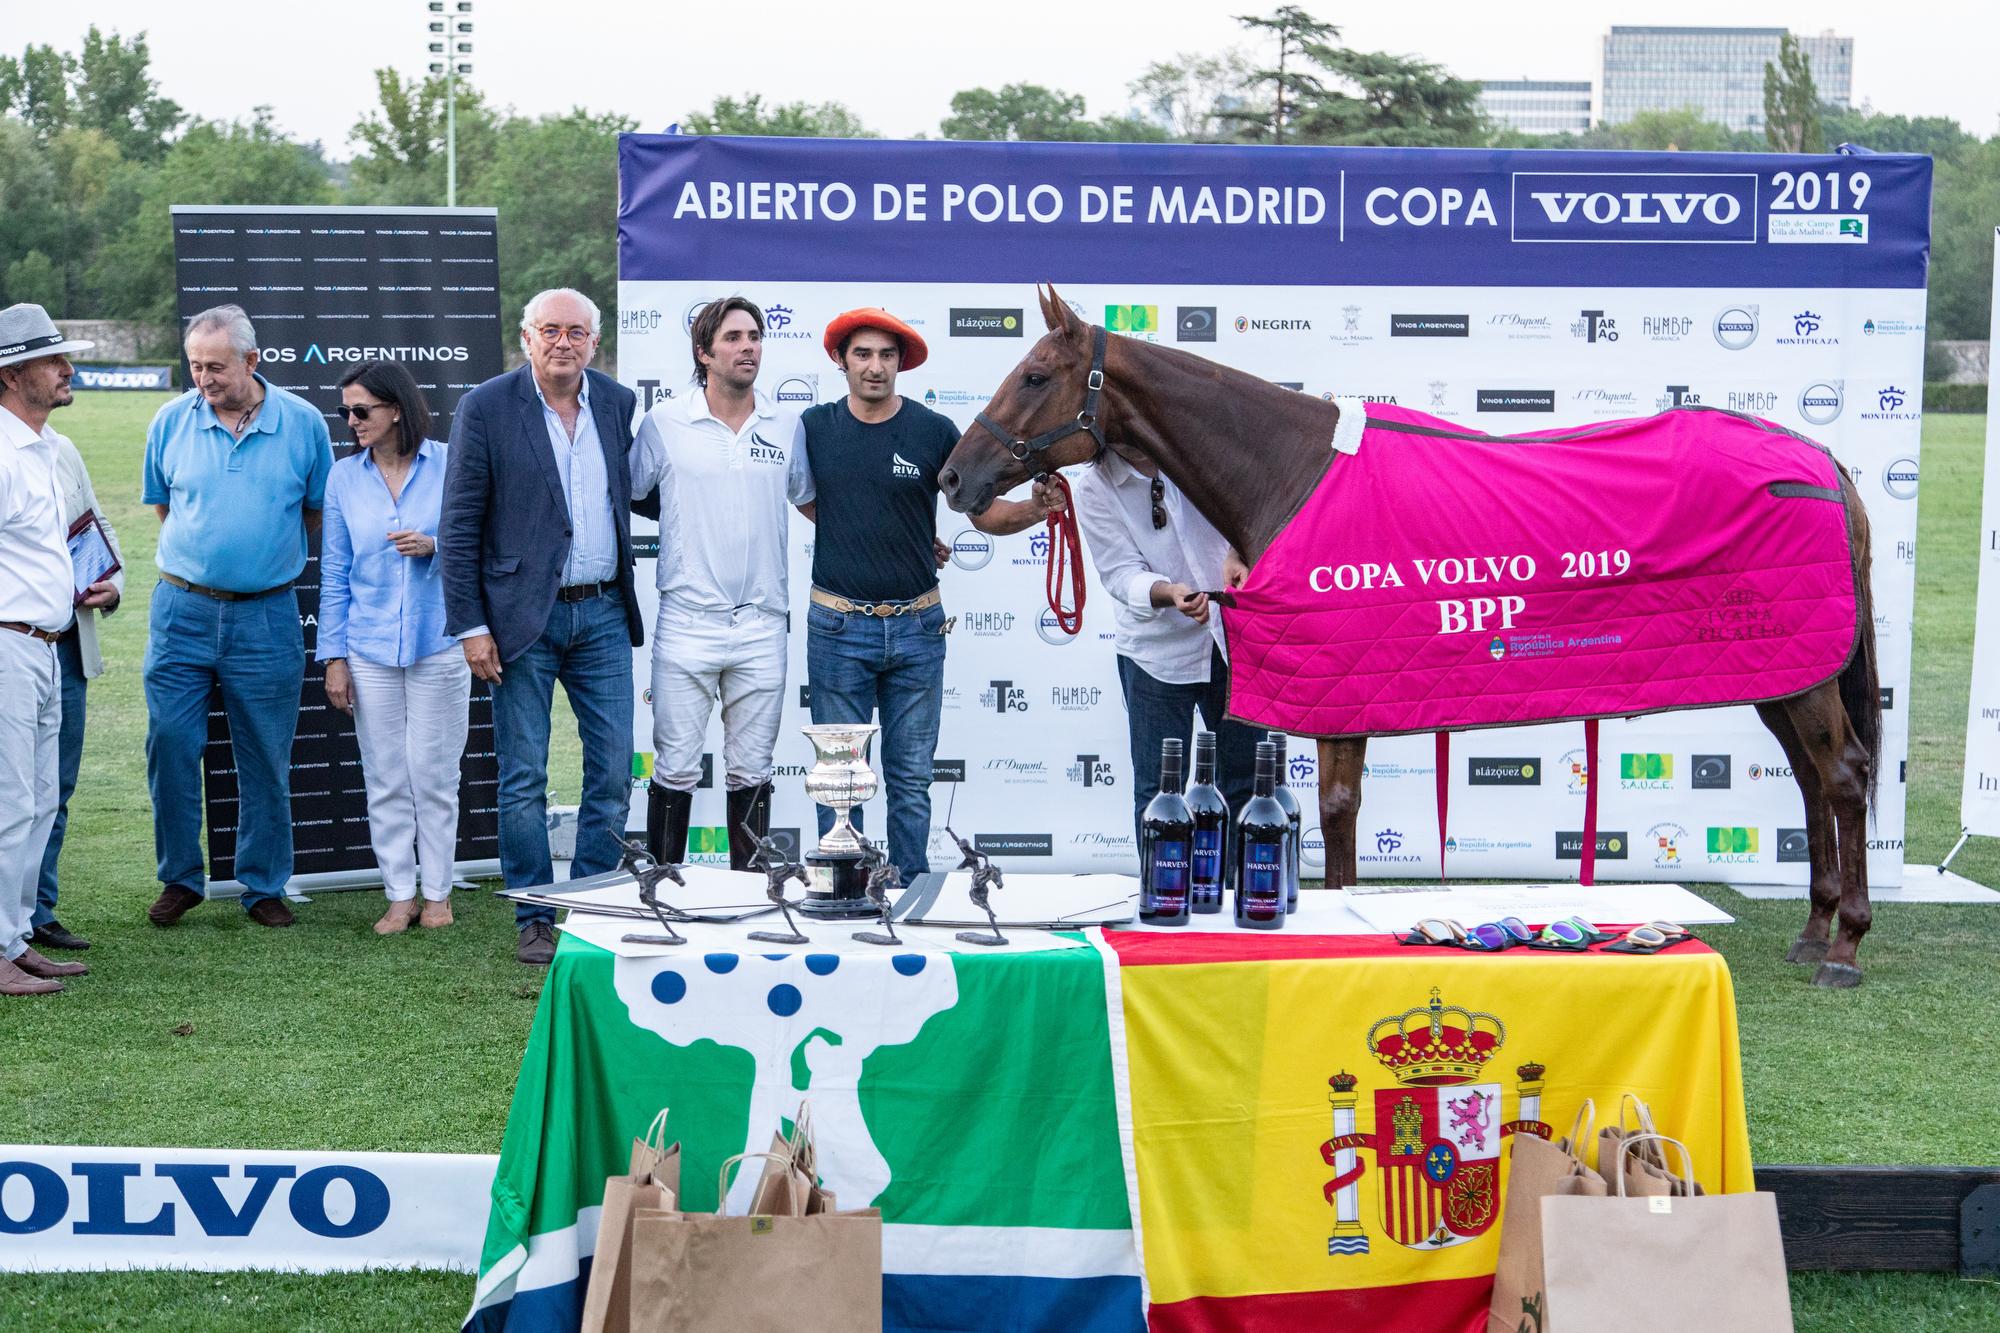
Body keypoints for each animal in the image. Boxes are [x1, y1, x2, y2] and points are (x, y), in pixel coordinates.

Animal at [944, 286, 1880, 980]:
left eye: (1035, 375)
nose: (956, 477)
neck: (1292, 471)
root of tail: (1822, 463)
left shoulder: (1341, 694)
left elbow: (1337, 813)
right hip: (1780, 670)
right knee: (1809, 777)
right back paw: (1813, 926)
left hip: (1801, 673)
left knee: (1842, 773)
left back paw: (1844, 945)